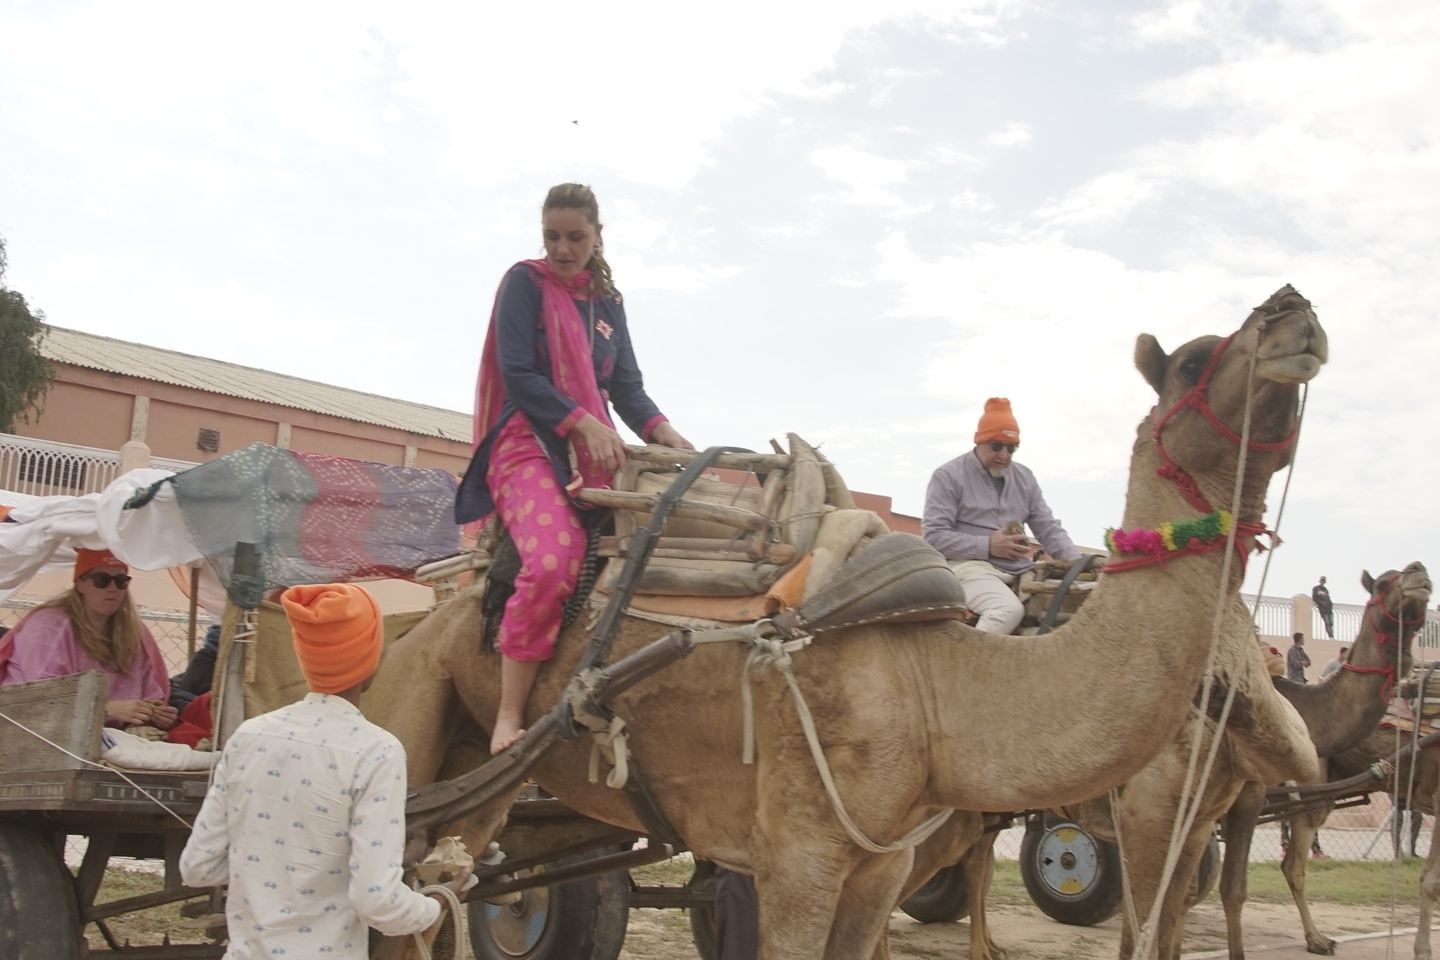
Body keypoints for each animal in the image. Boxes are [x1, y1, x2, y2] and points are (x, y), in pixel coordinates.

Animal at [362, 287, 1324, 960]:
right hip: (411, 708)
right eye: (1195, 360)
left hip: (478, 774)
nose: (1294, 307)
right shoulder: (799, 854)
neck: (942, 683)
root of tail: (426, 610)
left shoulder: (880, 862)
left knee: (435, 895)